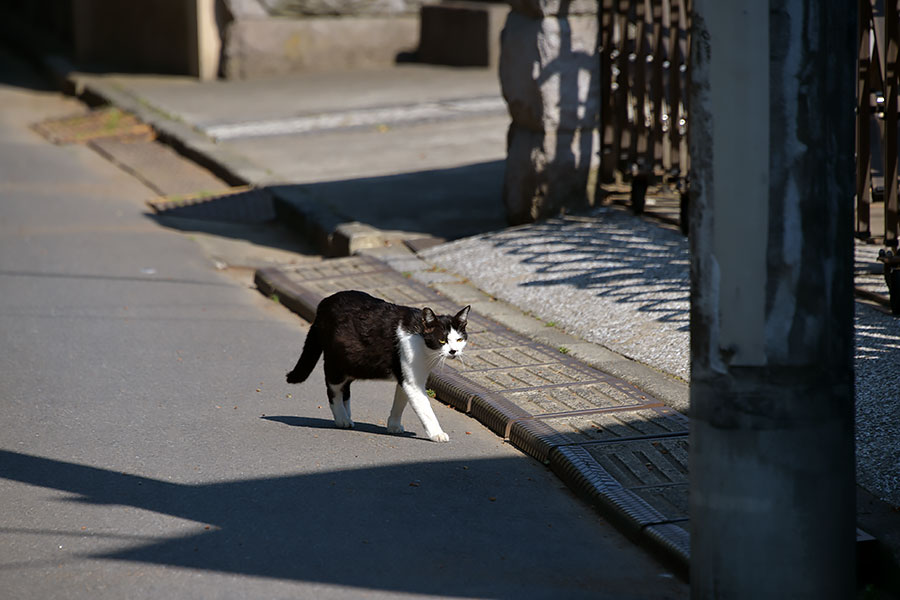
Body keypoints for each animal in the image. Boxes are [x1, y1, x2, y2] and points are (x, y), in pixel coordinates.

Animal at [286, 290, 472, 440]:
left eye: (459, 339)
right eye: (442, 340)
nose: (453, 351)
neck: (421, 342)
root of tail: (324, 303)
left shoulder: (406, 377)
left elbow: (400, 402)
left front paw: (393, 426)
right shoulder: (413, 382)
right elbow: (425, 408)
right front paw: (437, 433)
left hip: (352, 363)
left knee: (345, 390)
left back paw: (348, 416)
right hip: (336, 364)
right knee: (333, 390)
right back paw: (341, 419)